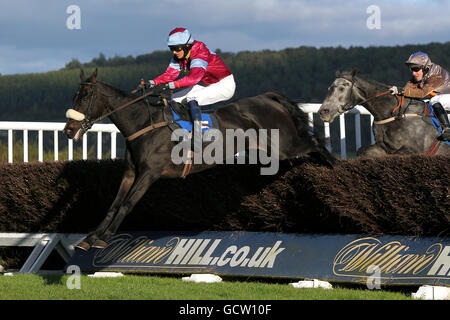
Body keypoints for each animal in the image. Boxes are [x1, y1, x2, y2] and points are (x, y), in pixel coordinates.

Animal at [63, 69, 334, 250]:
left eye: (84, 97)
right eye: (74, 96)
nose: (68, 130)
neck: (143, 123)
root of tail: (268, 98)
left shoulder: (150, 173)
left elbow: (127, 204)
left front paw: (104, 238)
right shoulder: (131, 172)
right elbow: (113, 204)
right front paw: (90, 238)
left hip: (284, 145)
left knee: (315, 143)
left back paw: (333, 169)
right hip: (274, 151)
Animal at [318, 70, 448, 157]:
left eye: (341, 88)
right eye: (330, 88)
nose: (323, 111)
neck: (395, 115)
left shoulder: (415, 150)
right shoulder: (383, 147)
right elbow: (362, 151)